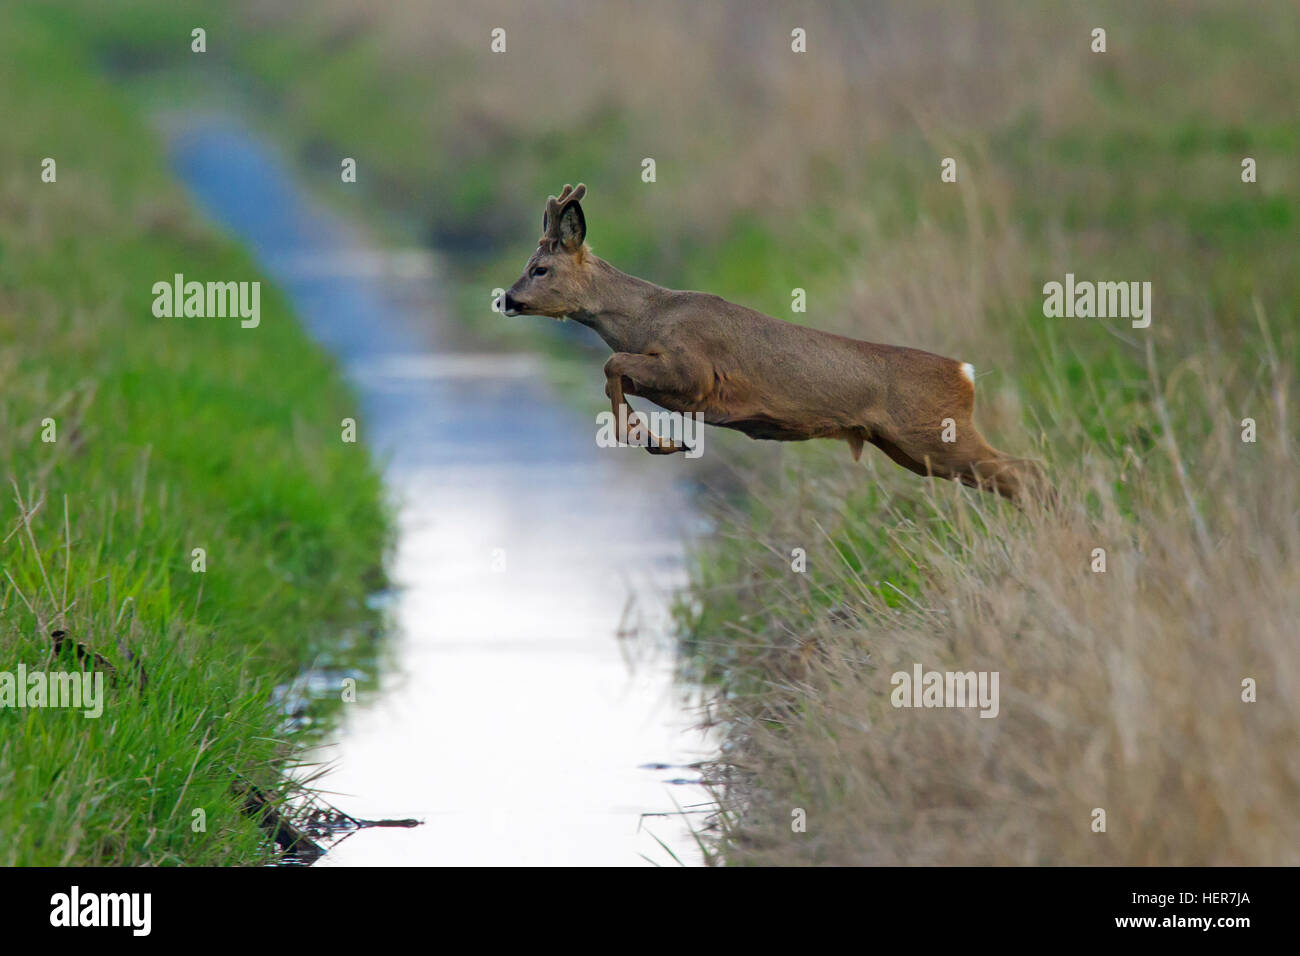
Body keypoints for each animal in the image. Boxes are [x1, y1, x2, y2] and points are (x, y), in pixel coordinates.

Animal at [501, 182, 1050, 504]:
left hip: (935, 432)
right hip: (911, 448)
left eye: (539, 268)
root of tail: (965, 373)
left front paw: (656, 440)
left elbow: (611, 364)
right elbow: (612, 372)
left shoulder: (693, 372)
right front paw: (661, 440)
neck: (648, 317)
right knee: (1020, 472)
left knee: (1028, 470)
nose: (506, 298)